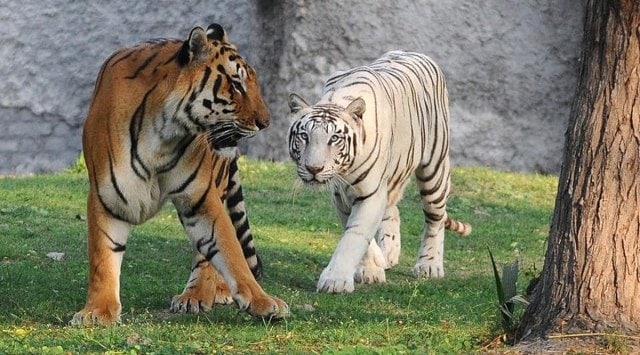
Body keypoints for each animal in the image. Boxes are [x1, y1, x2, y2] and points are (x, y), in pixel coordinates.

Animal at [71, 23, 288, 326]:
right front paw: (97, 311)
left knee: (207, 256)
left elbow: (229, 251)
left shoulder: (200, 198)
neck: (164, 134)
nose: (266, 123)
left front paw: (263, 301)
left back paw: (199, 295)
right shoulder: (108, 197)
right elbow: (103, 256)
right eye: (236, 84)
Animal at [286, 50, 470, 294]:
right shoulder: (342, 196)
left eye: (334, 138)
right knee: (393, 210)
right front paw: (372, 267)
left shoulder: (370, 193)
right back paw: (389, 255)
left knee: (435, 219)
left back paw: (429, 265)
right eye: (304, 136)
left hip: (434, 169)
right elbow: (358, 233)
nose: (314, 169)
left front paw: (335, 281)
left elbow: (354, 236)